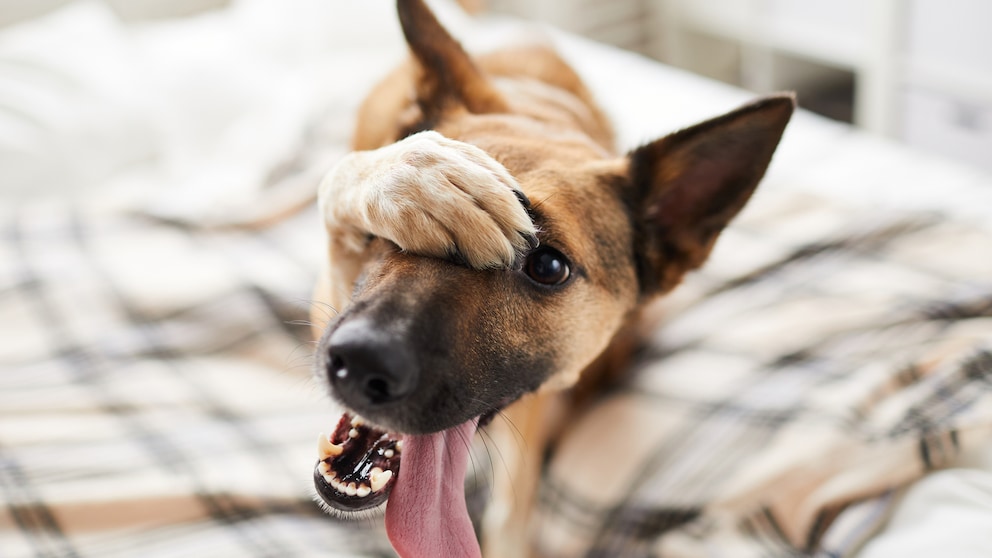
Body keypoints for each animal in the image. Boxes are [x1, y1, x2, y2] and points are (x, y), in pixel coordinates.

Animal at [310, 2, 792, 556]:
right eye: (393, 229)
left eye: (548, 267)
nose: (360, 361)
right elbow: (347, 180)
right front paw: (414, 175)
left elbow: (512, 511)